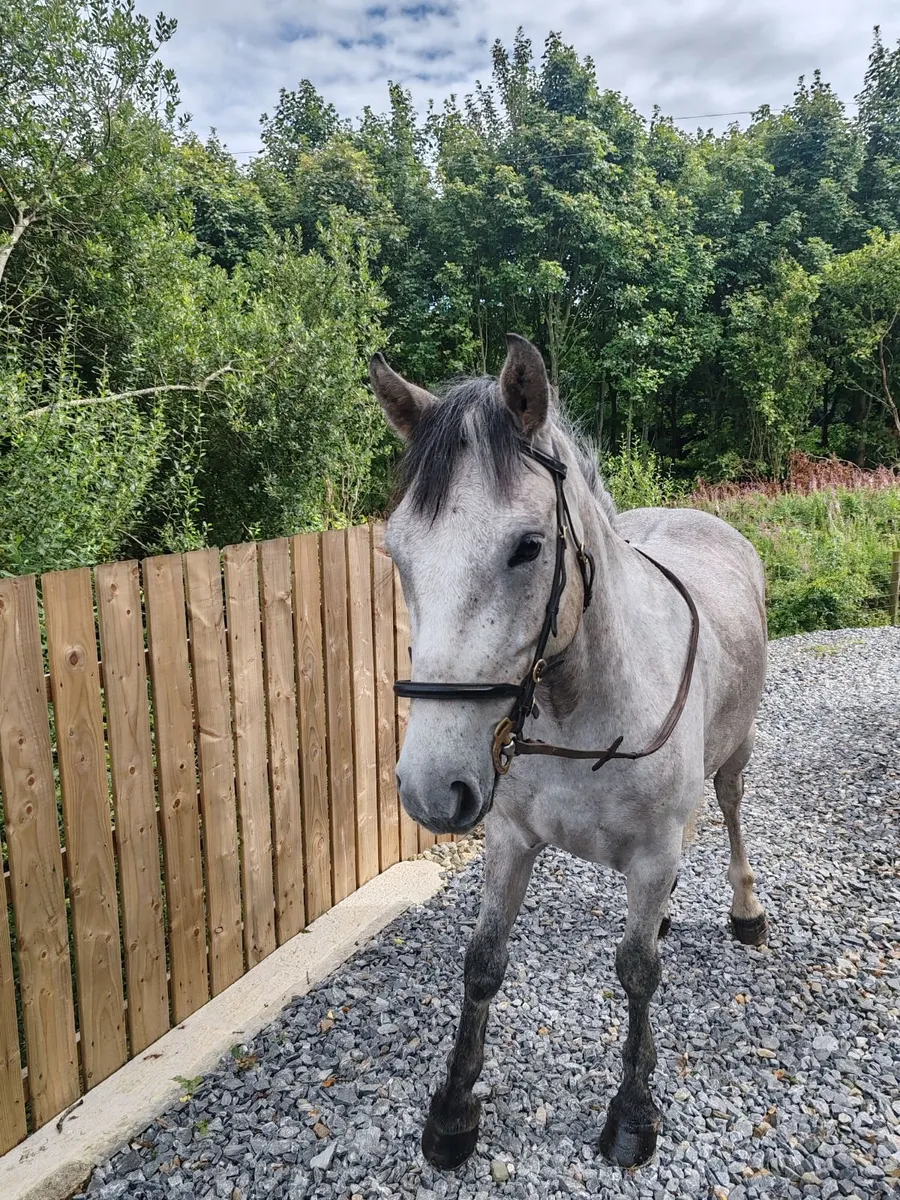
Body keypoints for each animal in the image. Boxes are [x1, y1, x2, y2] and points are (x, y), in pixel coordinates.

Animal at [369, 333, 769, 1171]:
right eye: (399, 552)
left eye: (527, 547)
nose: (429, 789)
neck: (582, 713)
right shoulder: (509, 838)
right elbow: (483, 962)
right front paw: (453, 1107)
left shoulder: (650, 854)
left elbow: (637, 973)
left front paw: (633, 1114)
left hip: (737, 752)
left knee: (731, 811)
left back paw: (746, 911)